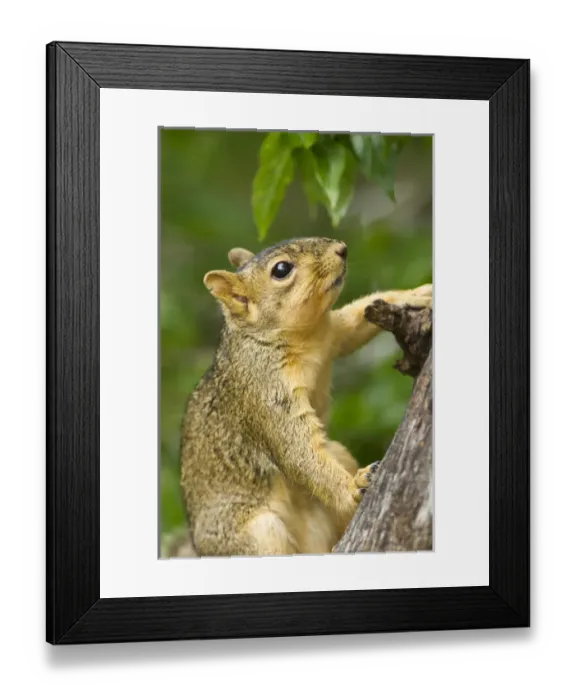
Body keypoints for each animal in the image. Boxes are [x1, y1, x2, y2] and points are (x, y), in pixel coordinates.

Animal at [179, 237, 432, 557]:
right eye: (281, 269)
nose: (341, 249)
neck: (300, 338)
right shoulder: (265, 390)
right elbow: (296, 450)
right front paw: (353, 488)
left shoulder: (333, 334)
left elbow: (357, 316)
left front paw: (416, 295)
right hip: (256, 533)